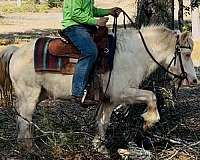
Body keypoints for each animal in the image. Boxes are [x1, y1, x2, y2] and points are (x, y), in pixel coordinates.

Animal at [0, 25, 197, 154]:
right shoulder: (123, 93)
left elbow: (103, 122)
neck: (132, 54)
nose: (194, 80)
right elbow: (152, 96)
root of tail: (16, 51)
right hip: (29, 96)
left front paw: (100, 147)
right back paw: (28, 148)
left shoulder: (109, 100)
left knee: (21, 118)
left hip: (37, 95)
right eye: (187, 54)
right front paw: (149, 121)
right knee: (24, 120)